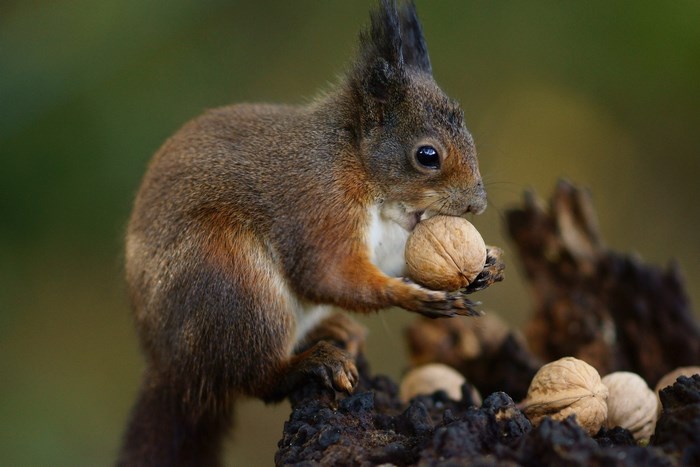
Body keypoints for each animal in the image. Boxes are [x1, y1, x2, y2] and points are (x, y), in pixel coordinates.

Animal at [117, 1, 504, 465]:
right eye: (427, 156)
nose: (477, 205)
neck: (357, 164)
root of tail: (174, 372)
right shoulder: (318, 202)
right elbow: (325, 273)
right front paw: (417, 297)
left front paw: (487, 262)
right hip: (233, 286)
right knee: (255, 379)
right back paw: (309, 363)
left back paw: (334, 330)